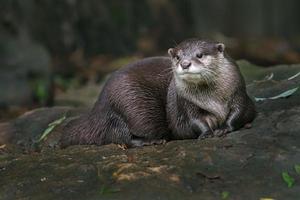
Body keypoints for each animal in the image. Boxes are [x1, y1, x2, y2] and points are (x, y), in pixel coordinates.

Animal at [60, 38, 255, 147]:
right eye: (177, 56)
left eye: (199, 55)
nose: (184, 63)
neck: (213, 100)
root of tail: (99, 107)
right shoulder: (185, 104)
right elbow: (194, 121)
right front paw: (207, 133)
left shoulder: (239, 93)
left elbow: (239, 112)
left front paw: (224, 128)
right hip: (132, 104)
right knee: (122, 137)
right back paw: (151, 141)